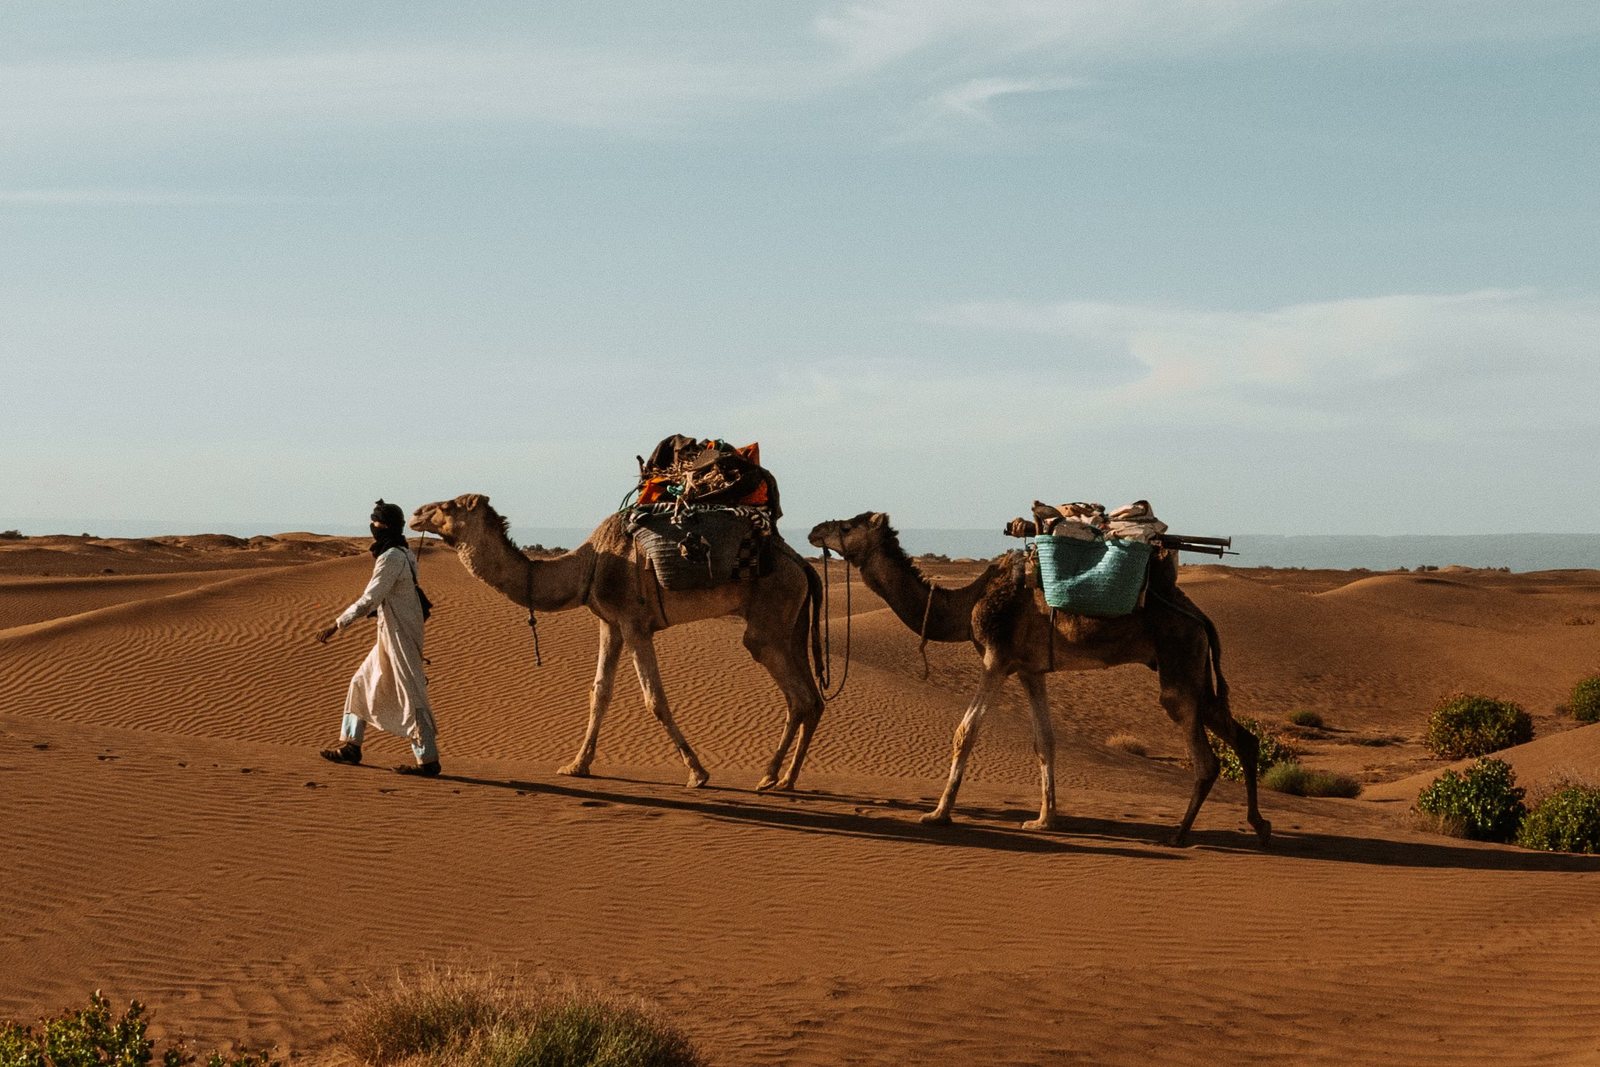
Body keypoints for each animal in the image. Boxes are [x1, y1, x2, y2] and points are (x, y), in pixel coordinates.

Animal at [411, 493, 825, 790]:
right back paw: (786, 778)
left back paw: (771, 777)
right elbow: (599, 692)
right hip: (791, 625)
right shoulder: (608, 623)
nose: (415, 512)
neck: (588, 564)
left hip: (768, 623)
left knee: (799, 696)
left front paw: (698, 773)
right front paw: (576, 766)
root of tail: (802, 565)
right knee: (811, 699)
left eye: (446, 506)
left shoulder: (634, 622)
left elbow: (654, 699)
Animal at [807, 512, 1269, 847]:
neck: (966, 604)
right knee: (1244, 739)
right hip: (1195, 669)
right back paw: (1259, 825)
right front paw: (1044, 820)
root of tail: (1201, 617)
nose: (814, 530)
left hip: (1179, 663)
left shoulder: (996, 659)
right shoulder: (1030, 669)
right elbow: (1044, 740)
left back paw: (1179, 834)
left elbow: (964, 733)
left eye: (847, 526)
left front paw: (938, 814)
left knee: (1205, 757)